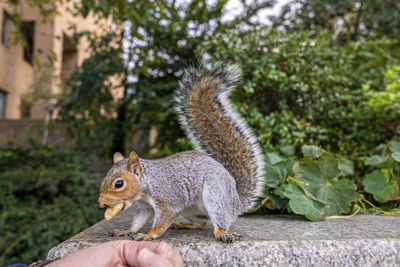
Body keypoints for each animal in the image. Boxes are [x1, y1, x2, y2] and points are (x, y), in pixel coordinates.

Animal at [97, 62, 266, 243]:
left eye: (119, 184)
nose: (101, 204)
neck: (146, 186)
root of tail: (236, 201)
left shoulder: (169, 199)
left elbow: (162, 221)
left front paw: (147, 235)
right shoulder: (144, 207)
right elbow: (138, 221)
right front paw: (126, 231)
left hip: (215, 195)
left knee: (219, 220)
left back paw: (223, 233)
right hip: (191, 209)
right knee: (201, 222)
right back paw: (187, 225)